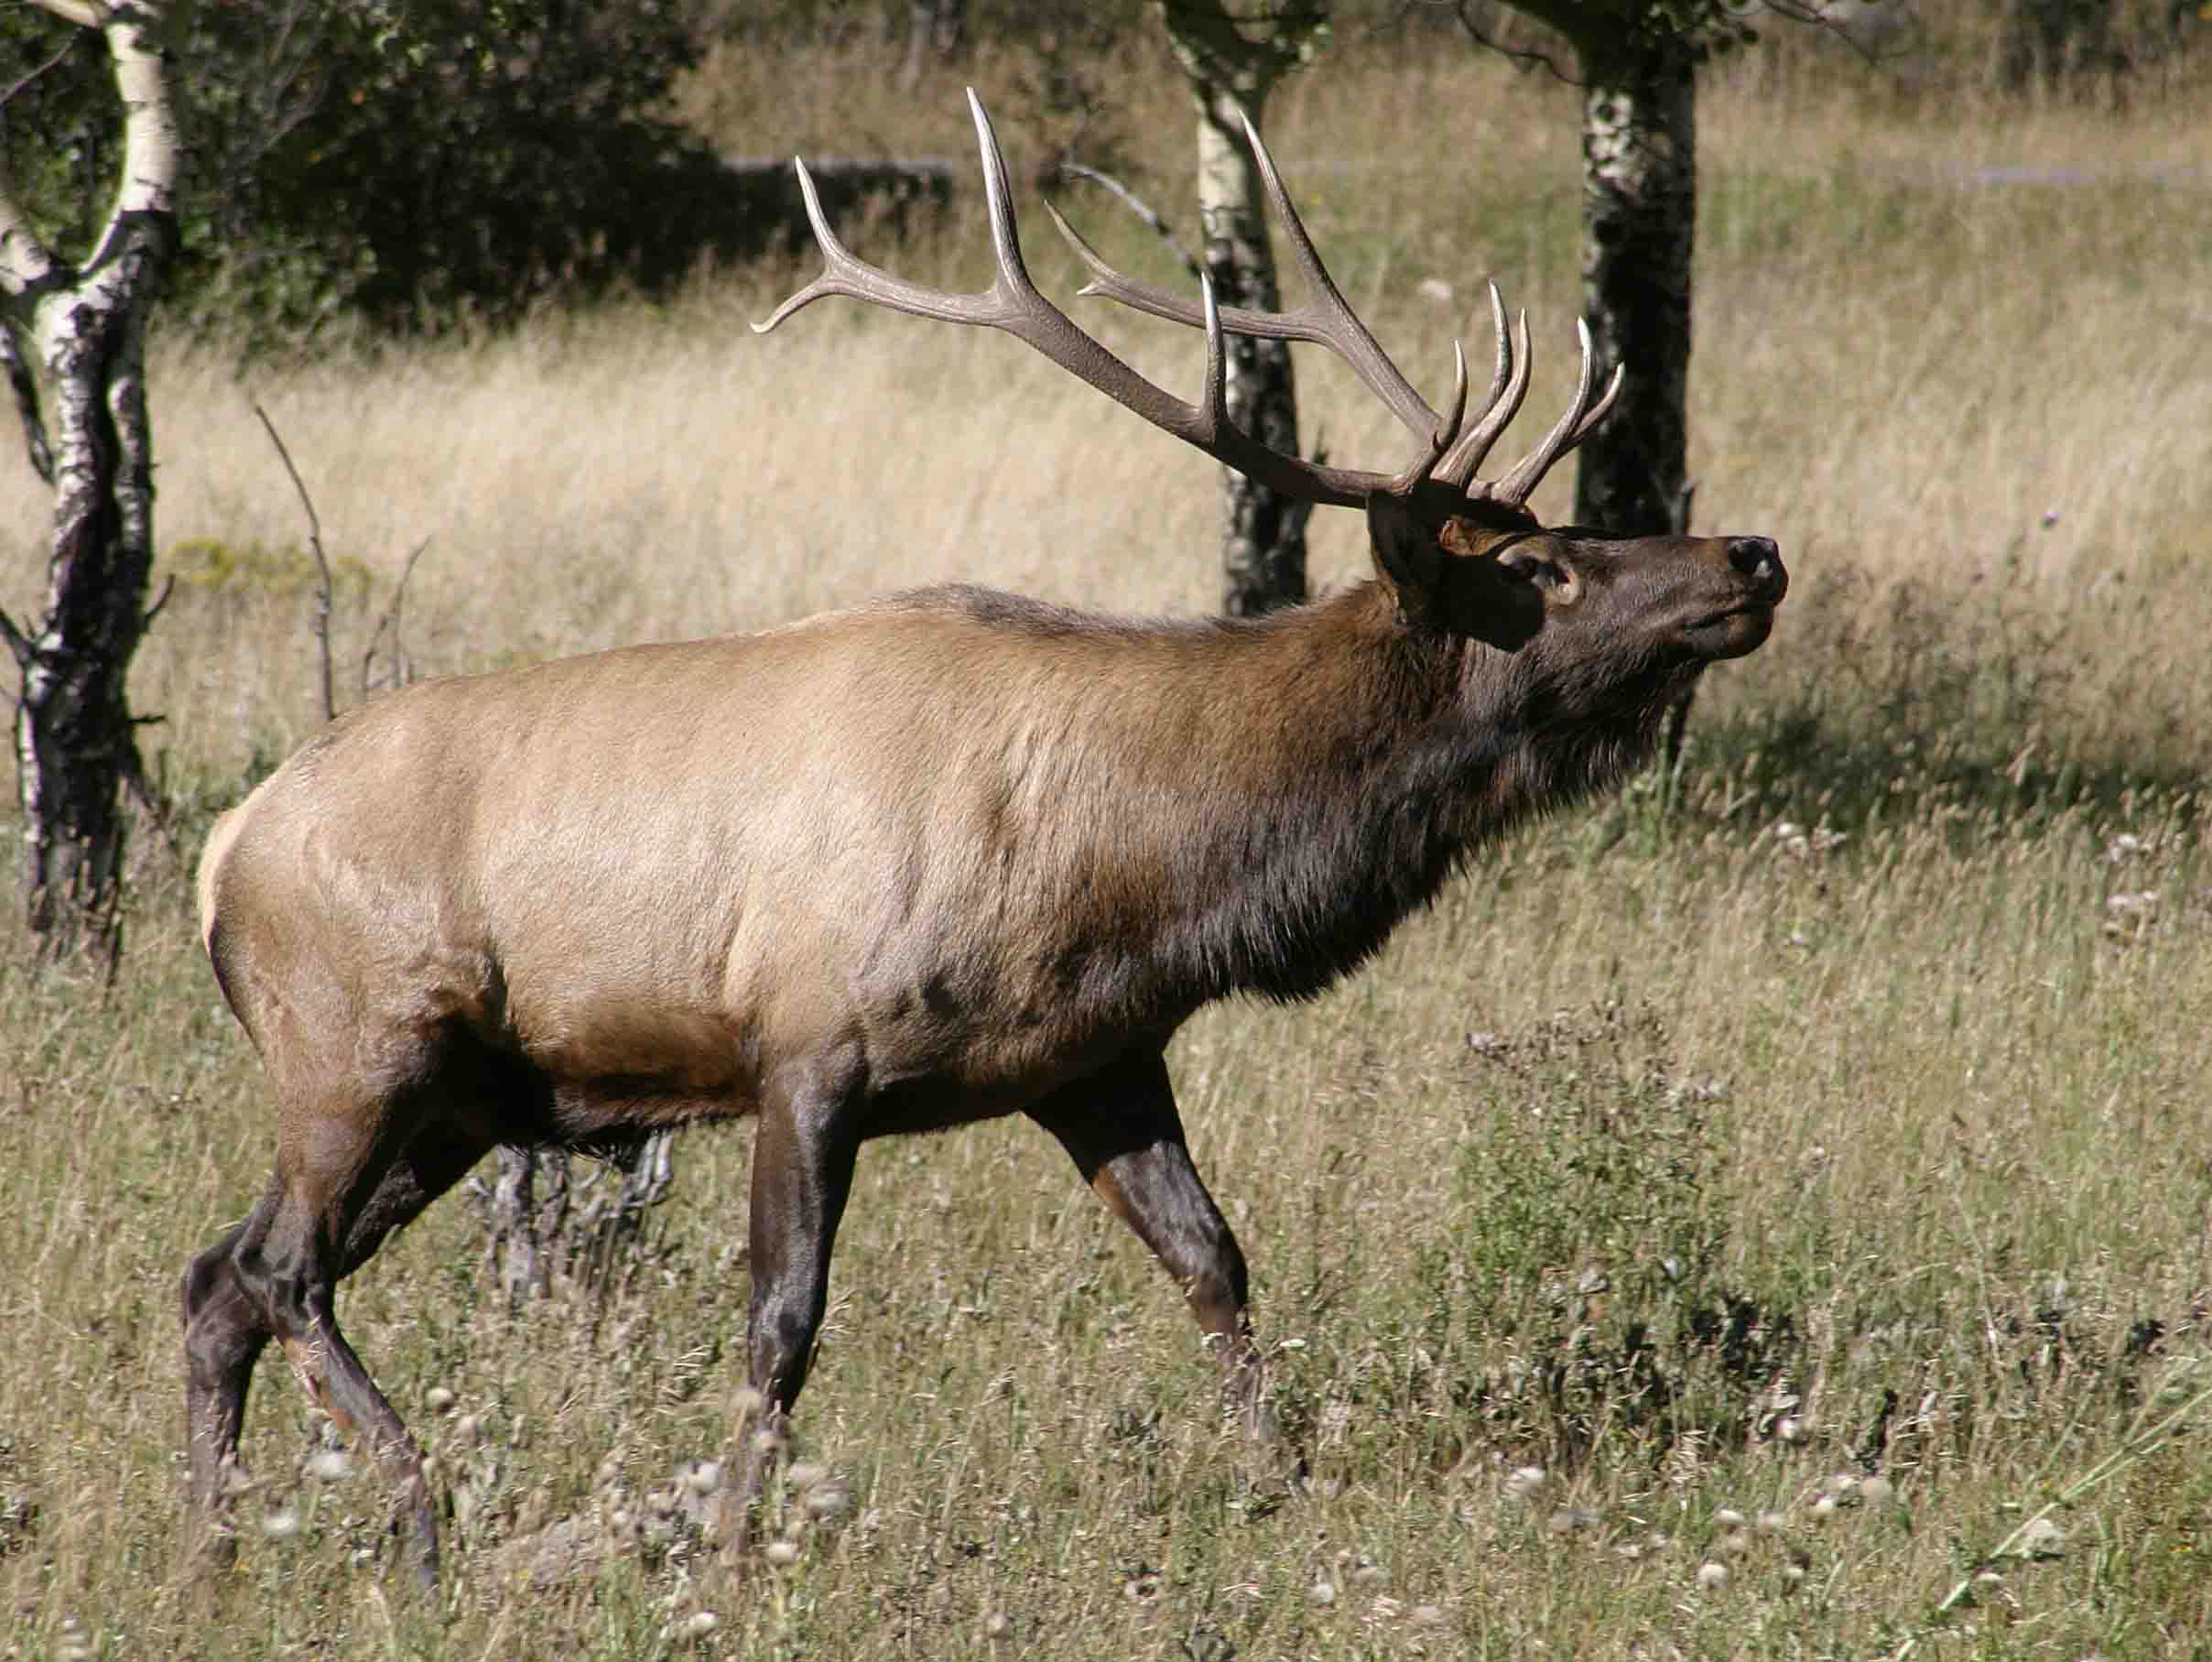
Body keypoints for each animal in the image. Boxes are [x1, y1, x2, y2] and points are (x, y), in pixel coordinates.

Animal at [182, 92, 1784, 1590]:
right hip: (359, 1042)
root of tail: (220, 850)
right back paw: (417, 1510)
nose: (1753, 552)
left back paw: (216, 1546)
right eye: (1547, 566)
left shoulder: (1096, 1053)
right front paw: (726, 1541)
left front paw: (1283, 1486)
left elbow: (1214, 1256)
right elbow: (782, 1319)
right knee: (281, 1266)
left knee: (214, 1278)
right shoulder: (805, 1043)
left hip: (458, 1097)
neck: (1131, 870)